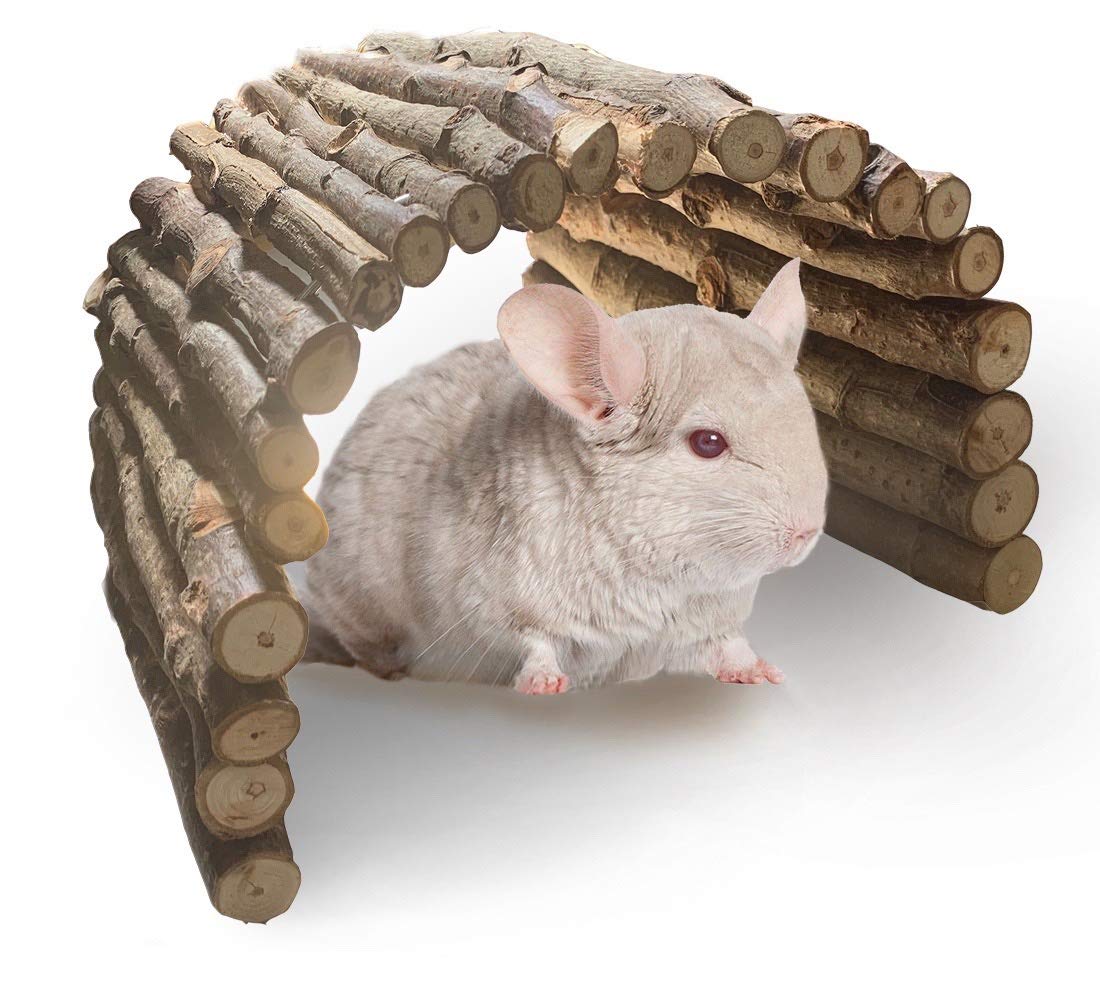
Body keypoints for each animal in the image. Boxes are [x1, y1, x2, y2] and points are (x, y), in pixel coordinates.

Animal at [305, 258, 828, 694]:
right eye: (708, 443)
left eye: (804, 417)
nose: (807, 533)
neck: (658, 578)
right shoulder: (495, 605)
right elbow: (532, 642)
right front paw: (545, 686)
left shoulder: (704, 624)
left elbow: (727, 645)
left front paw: (763, 672)